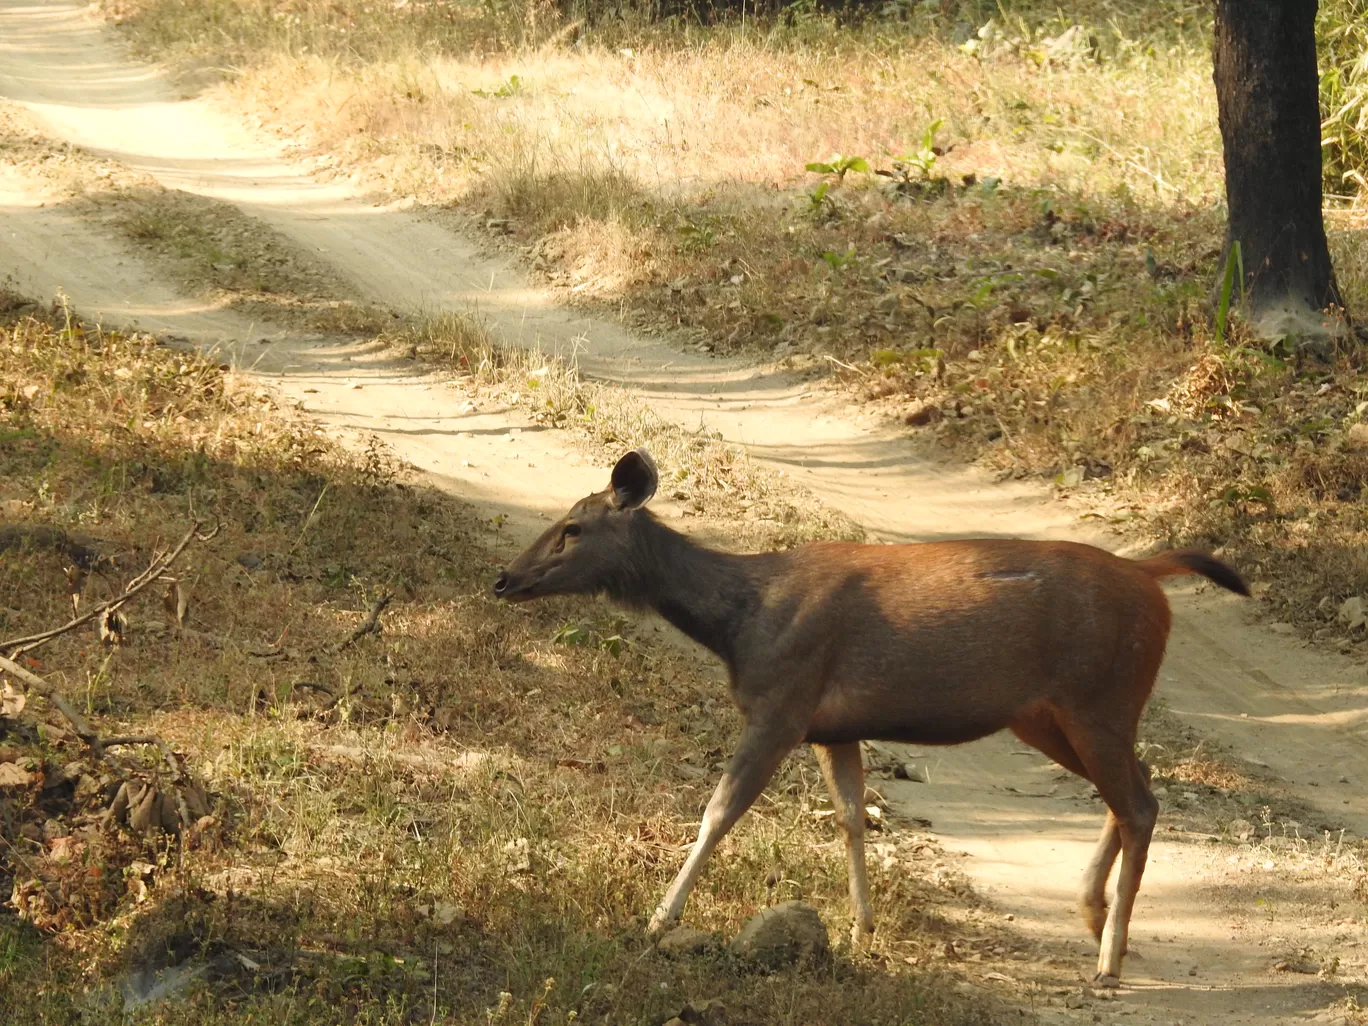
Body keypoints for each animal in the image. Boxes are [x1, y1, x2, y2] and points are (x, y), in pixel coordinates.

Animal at [495, 451, 1253, 990]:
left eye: (574, 527)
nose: (505, 578)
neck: (737, 622)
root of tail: (1152, 580)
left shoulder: (784, 704)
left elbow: (718, 811)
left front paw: (658, 919)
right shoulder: (833, 727)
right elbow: (852, 818)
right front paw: (861, 929)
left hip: (1100, 697)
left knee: (1141, 803)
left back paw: (1109, 960)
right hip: (1050, 714)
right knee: (1134, 791)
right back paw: (1092, 917)